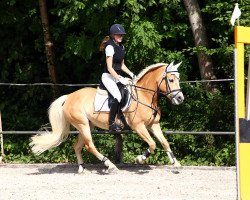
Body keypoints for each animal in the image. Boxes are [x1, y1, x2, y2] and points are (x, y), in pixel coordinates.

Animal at [30, 61, 185, 173]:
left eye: (178, 78)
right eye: (171, 80)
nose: (180, 98)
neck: (144, 96)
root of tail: (69, 97)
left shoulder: (153, 125)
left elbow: (164, 142)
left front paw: (176, 163)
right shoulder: (138, 126)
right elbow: (152, 144)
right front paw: (140, 159)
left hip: (87, 125)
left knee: (78, 146)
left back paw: (82, 168)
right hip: (82, 124)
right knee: (89, 146)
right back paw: (110, 165)